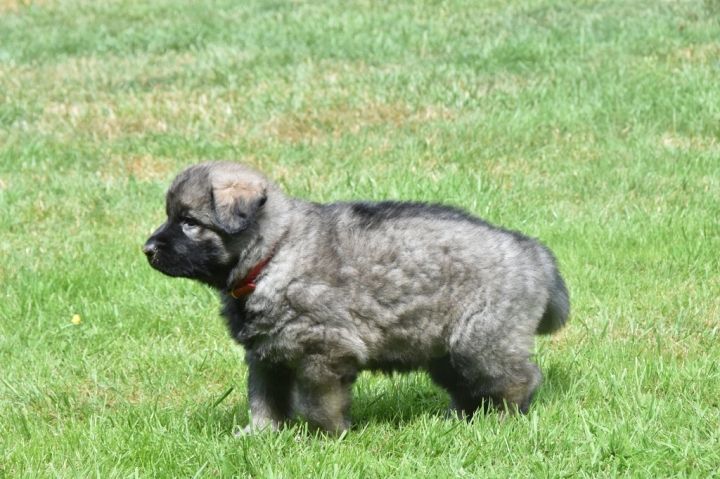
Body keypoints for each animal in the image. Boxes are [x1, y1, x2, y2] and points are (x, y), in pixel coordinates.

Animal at [143, 161, 569, 434]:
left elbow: (316, 404)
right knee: (469, 388)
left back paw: (504, 419)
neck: (273, 254)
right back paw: (459, 421)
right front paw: (261, 436)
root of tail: (533, 251)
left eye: (189, 222)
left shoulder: (323, 352)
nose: (147, 249)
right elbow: (264, 401)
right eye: (170, 216)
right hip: (445, 350)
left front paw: (324, 437)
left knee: (518, 379)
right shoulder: (265, 355)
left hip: (481, 341)